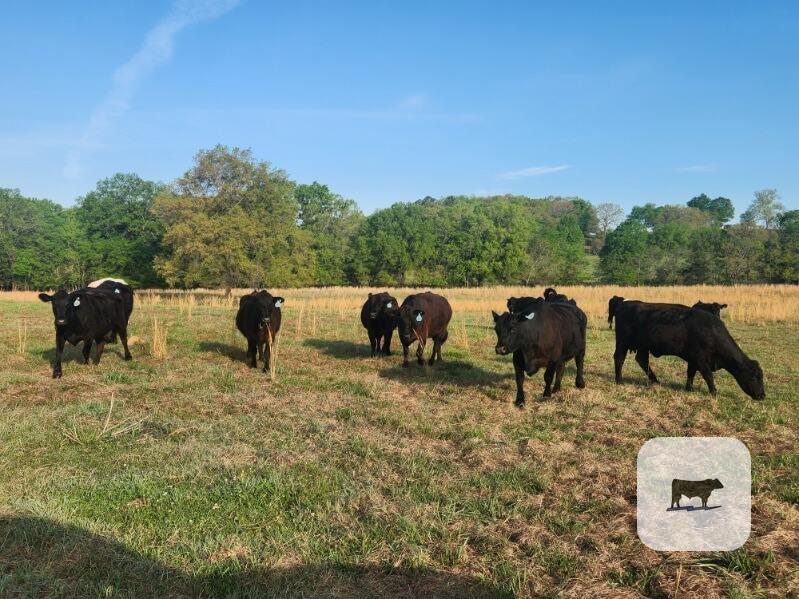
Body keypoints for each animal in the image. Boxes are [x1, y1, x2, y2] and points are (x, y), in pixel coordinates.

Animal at [613, 300, 765, 400]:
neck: (712, 332)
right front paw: (714, 393)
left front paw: (689, 388)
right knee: (619, 358)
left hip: (644, 346)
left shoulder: (693, 359)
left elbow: (691, 373)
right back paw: (619, 381)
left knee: (642, 360)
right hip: (622, 342)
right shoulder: (701, 359)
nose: (762, 395)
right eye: (754, 376)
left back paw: (656, 381)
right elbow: (708, 376)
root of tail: (625, 304)